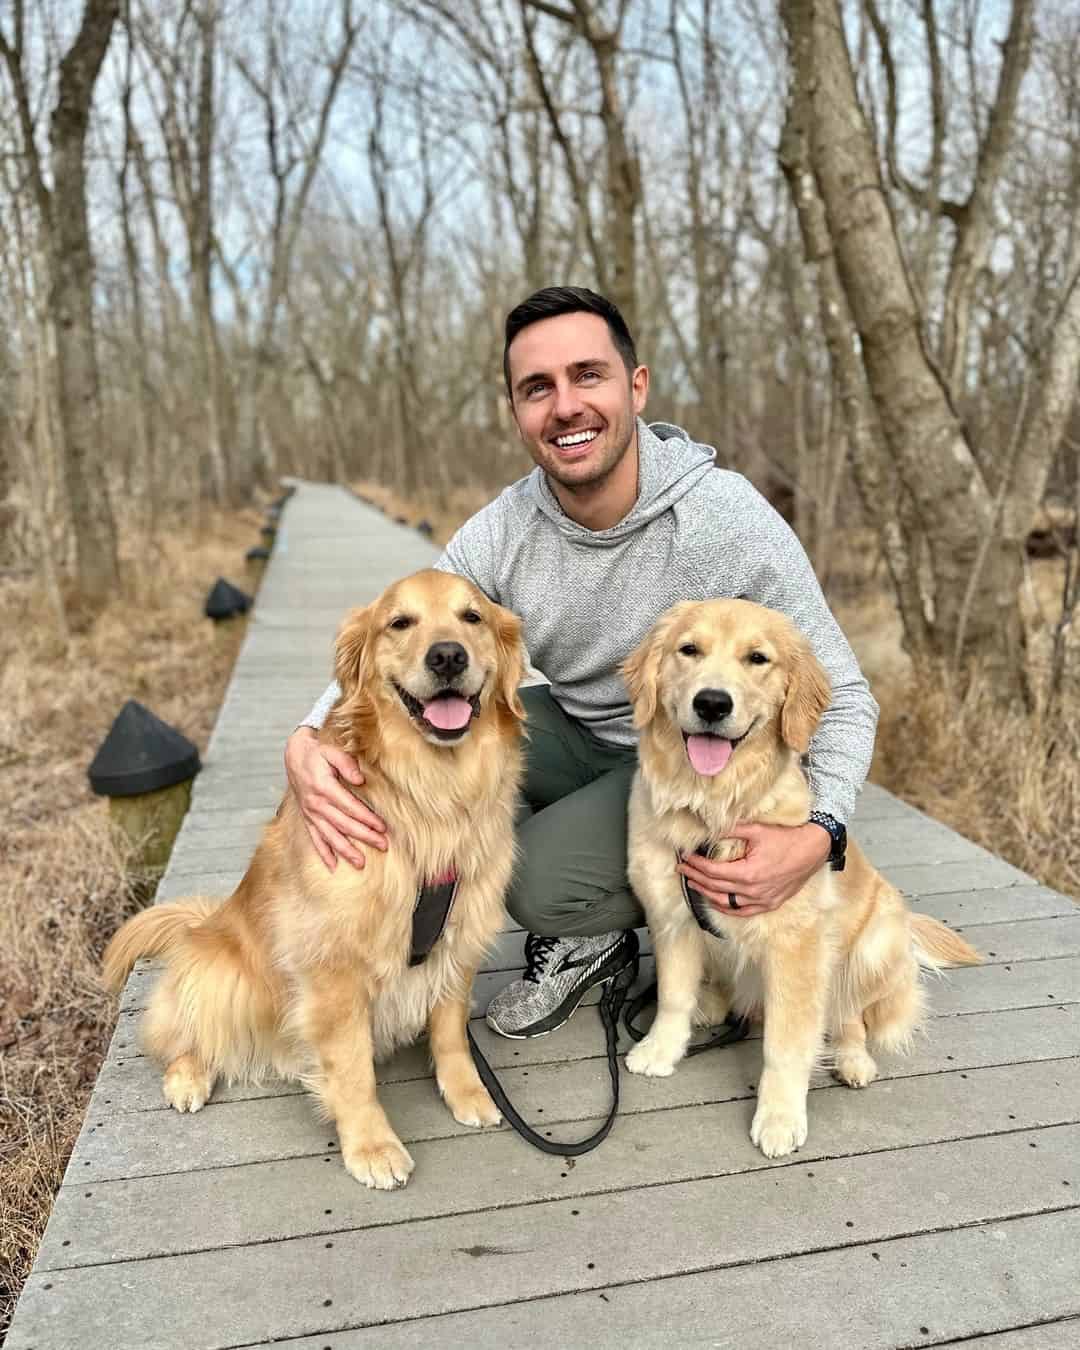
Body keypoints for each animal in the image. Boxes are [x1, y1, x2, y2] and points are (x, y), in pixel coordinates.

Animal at [103, 572, 526, 1193]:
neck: (428, 797)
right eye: (400, 623)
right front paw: (372, 1146)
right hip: (222, 978)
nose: (448, 656)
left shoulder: (459, 936)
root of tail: (201, 926)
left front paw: (467, 1093)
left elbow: (450, 1032)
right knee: (182, 1034)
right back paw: (187, 1078)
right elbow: (351, 1070)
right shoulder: (332, 968)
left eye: (471, 617)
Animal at [615, 602, 977, 1161]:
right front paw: (661, 1047)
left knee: (849, 1017)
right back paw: (712, 1004)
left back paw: (852, 1060)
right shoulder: (671, 914)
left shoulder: (797, 946)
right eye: (688, 650)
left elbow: (786, 1044)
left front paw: (780, 1117)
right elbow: (674, 993)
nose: (712, 703)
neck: (716, 809)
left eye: (757, 658)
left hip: (874, 944)